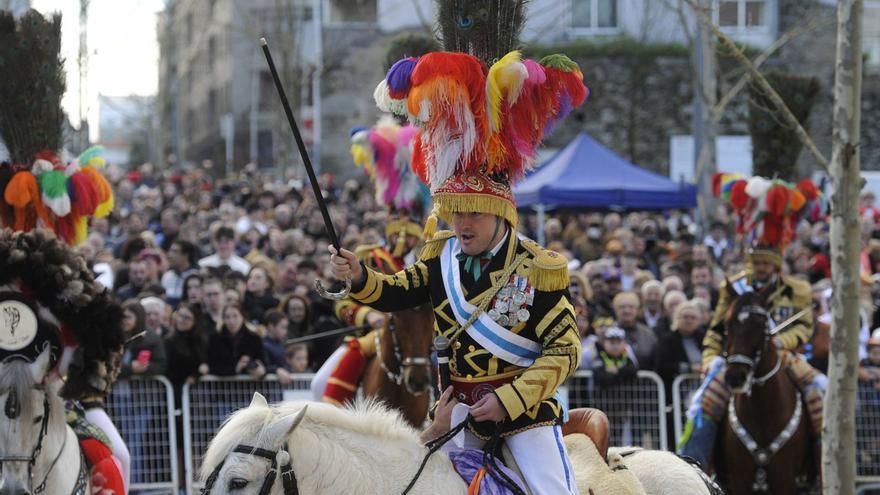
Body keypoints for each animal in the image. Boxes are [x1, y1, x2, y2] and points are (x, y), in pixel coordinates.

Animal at [720, 290, 816, 495]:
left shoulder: (785, 479)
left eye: (762, 324)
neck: (762, 410)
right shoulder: (740, 479)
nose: (735, 377)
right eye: (727, 324)